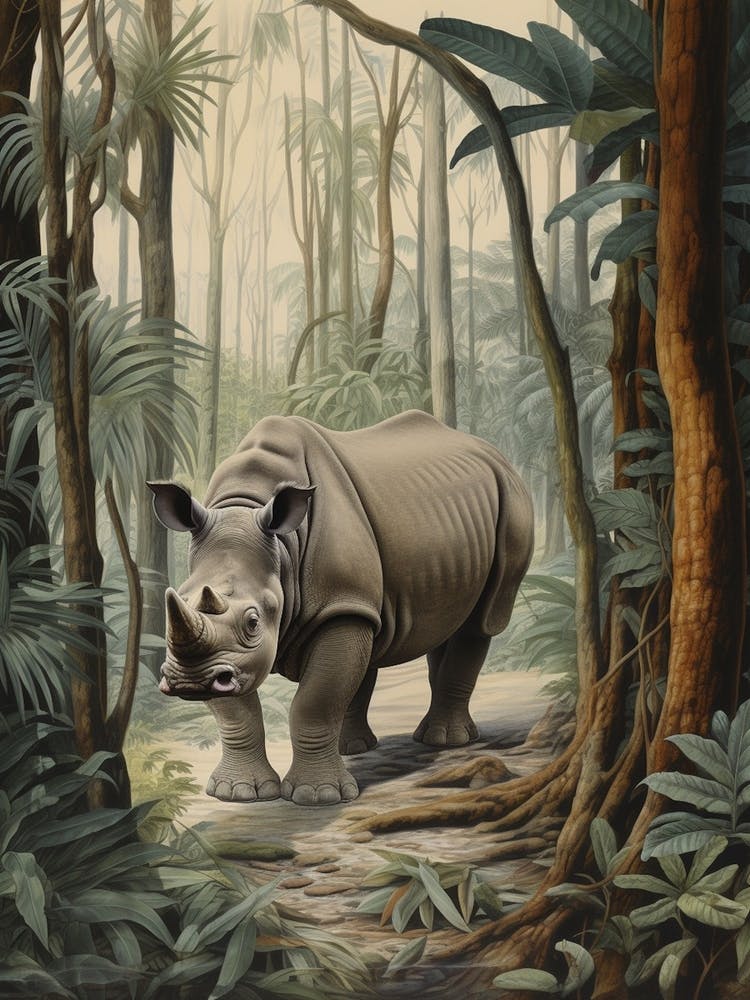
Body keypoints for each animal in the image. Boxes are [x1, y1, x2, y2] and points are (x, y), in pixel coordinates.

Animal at [148, 410, 533, 806]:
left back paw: (444, 741)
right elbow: (239, 713)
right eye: (179, 601)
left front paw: (317, 797)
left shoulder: (340, 603)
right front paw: (237, 793)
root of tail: (491, 452)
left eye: (253, 621)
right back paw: (359, 748)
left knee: (481, 622)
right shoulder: (227, 658)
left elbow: (316, 701)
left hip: (512, 498)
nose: (189, 682)